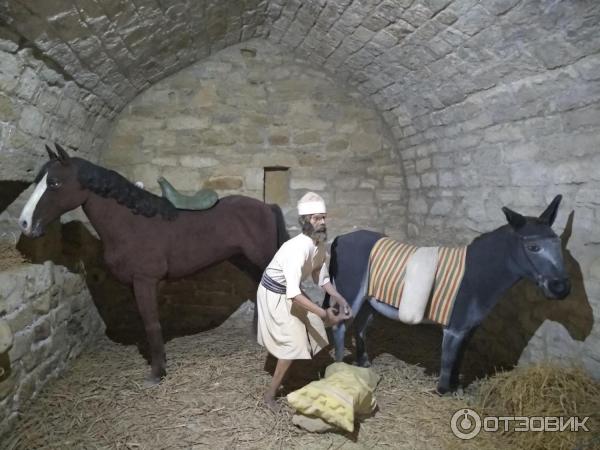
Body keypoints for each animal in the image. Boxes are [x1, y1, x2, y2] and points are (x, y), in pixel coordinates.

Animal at [19, 143, 288, 380]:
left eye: (54, 183)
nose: (25, 223)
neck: (131, 223)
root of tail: (267, 207)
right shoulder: (136, 284)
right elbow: (146, 322)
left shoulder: (145, 281)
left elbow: (151, 324)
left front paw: (157, 372)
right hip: (243, 259)